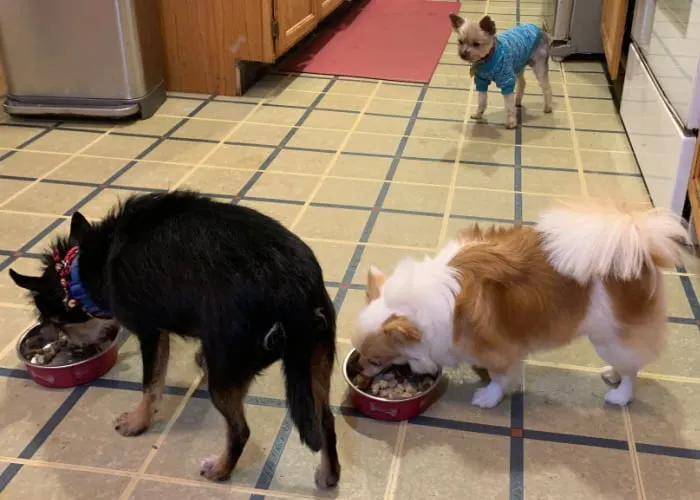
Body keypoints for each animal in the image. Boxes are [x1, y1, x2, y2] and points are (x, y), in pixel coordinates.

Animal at [9, 189, 340, 486]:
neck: (84, 268)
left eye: (56, 322)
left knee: (240, 431)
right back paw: (329, 475)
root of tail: (294, 288)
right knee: (326, 420)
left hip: (227, 375)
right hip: (316, 360)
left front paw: (138, 422)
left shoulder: (150, 333)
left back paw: (221, 470)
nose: (72, 346)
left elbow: (150, 385)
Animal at [352, 202, 692, 406]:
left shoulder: (500, 350)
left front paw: (488, 397)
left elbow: (500, 377)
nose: (360, 368)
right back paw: (613, 373)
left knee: (633, 370)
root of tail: (639, 246)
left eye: (376, 359)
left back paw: (620, 394)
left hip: (610, 337)